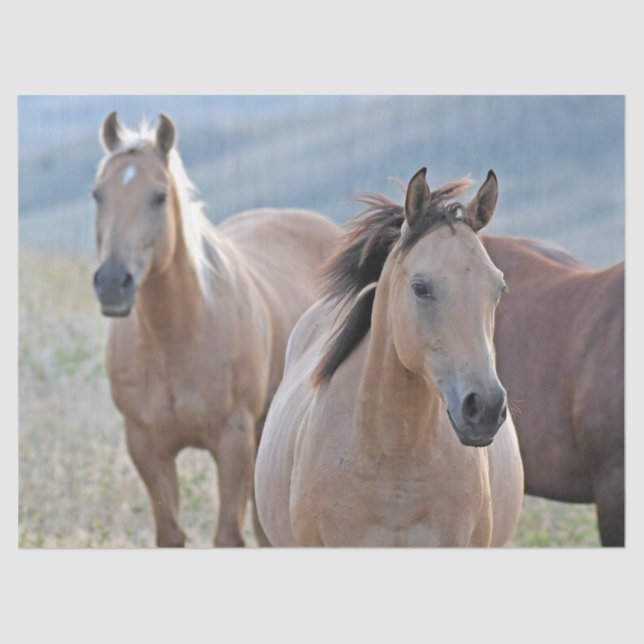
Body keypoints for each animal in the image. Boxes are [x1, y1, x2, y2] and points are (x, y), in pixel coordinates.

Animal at [91, 112, 339, 547]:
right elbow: (171, 535)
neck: (175, 339)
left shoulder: (232, 440)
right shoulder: (147, 446)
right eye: (97, 195)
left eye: (158, 196)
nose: (112, 283)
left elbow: (228, 537)